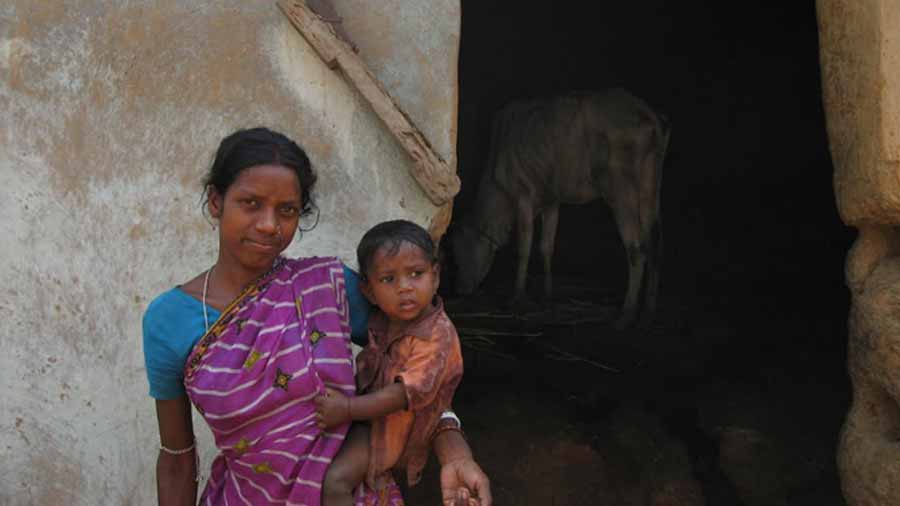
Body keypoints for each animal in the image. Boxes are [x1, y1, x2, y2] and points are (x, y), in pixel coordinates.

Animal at [450, 88, 668, 328]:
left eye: (462, 250)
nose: (460, 289)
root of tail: (649, 114)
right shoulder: (551, 200)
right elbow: (546, 247)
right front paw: (547, 295)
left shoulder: (523, 194)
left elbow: (523, 248)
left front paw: (517, 298)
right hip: (650, 188)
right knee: (655, 242)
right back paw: (648, 311)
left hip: (620, 188)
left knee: (636, 247)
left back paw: (626, 314)